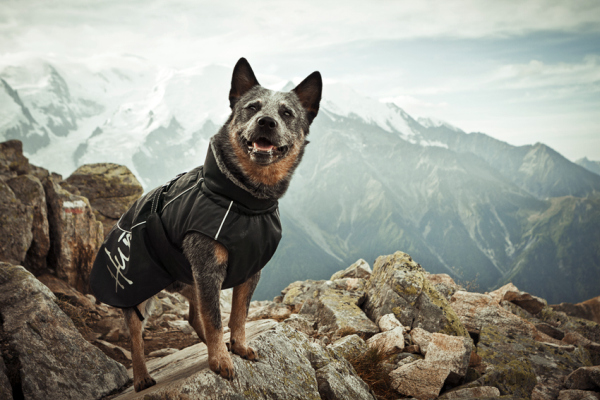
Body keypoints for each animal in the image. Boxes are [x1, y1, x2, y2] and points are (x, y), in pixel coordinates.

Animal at [88, 57, 322, 392]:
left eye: (287, 113)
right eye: (252, 107)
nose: (266, 122)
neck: (245, 201)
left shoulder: (249, 270)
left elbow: (238, 314)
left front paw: (237, 346)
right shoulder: (208, 267)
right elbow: (215, 318)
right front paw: (220, 360)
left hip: (186, 277)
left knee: (192, 315)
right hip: (136, 289)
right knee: (136, 334)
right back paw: (142, 376)